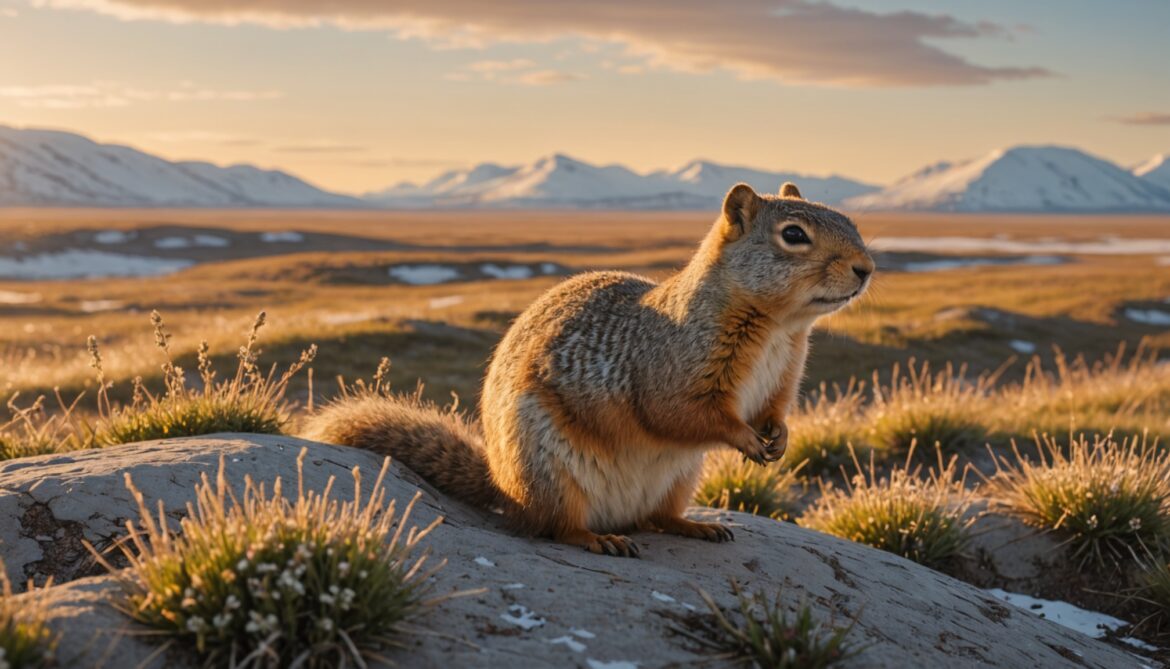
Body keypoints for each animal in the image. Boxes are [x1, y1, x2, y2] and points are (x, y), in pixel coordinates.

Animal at [305, 182, 874, 558]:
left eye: (851, 222)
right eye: (794, 234)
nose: (867, 268)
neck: (779, 328)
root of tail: (504, 488)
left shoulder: (783, 378)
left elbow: (773, 410)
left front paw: (780, 437)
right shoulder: (673, 370)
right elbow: (685, 414)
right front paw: (749, 440)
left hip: (681, 476)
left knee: (656, 517)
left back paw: (695, 526)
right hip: (550, 473)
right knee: (557, 527)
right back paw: (599, 539)